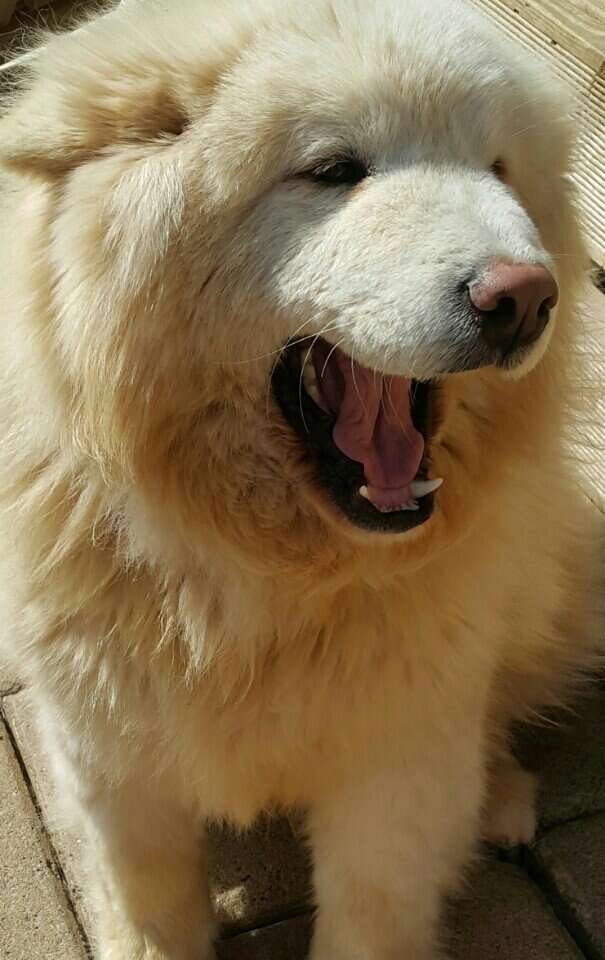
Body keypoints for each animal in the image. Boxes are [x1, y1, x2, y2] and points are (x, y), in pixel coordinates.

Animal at [0, 1, 600, 960]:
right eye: (332, 171)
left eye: (497, 168)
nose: (523, 298)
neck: (257, 575)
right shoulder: (105, 750)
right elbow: (147, 900)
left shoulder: (396, 764)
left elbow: (372, 913)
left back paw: (500, 798)